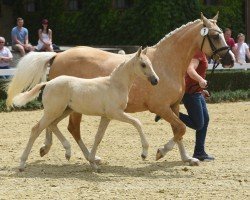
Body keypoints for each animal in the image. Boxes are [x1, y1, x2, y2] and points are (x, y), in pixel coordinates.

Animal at [11, 47, 159, 170]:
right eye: (143, 64)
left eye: (151, 64)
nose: (155, 80)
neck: (114, 85)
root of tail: (48, 83)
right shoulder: (116, 113)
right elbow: (137, 123)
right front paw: (144, 153)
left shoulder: (106, 116)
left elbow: (98, 137)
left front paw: (93, 162)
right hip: (53, 111)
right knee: (36, 129)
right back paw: (22, 164)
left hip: (64, 111)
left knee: (52, 125)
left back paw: (67, 151)